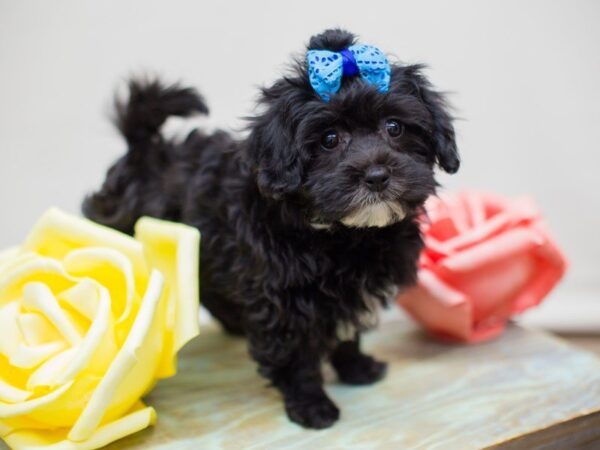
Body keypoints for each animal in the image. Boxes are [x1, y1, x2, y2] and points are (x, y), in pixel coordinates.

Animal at [83, 28, 460, 428]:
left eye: (394, 127)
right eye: (329, 139)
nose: (376, 175)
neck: (345, 234)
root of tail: (142, 151)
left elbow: (347, 332)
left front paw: (357, 368)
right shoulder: (282, 300)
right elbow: (295, 356)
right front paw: (311, 406)